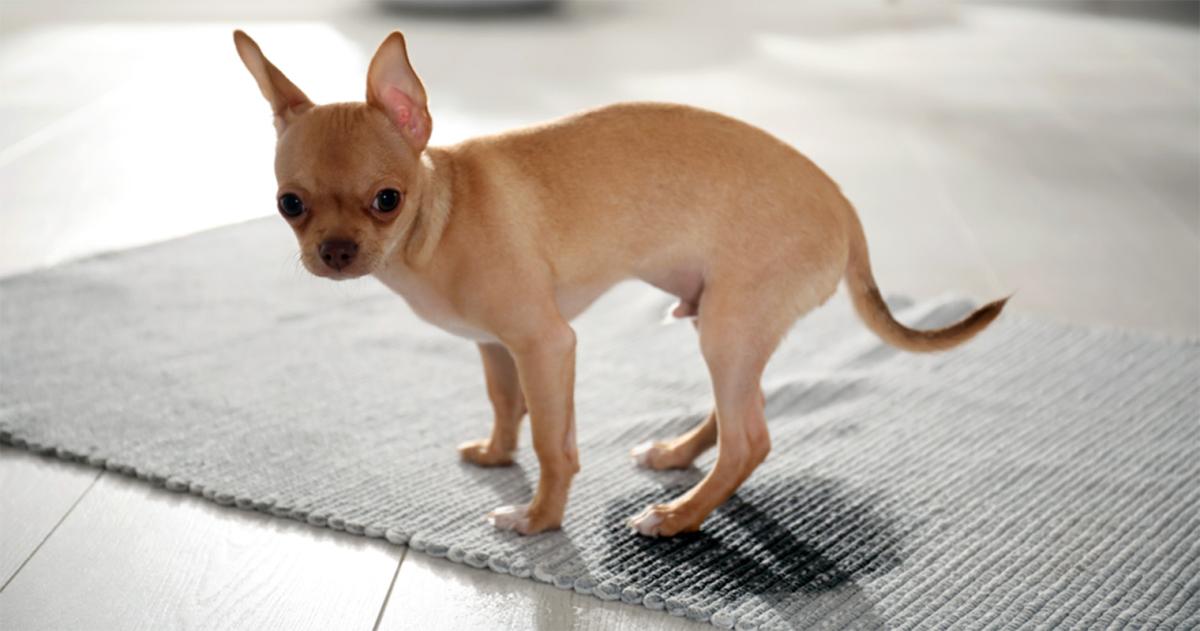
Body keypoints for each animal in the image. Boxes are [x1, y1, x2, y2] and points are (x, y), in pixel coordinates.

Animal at [231, 30, 1003, 539]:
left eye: (386, 200)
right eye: (289, 204)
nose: (335, 251)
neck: (440, 214)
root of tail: (843, 204)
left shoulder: (546, 344)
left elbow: (555, 443)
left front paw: (539, 519)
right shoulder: (496, 345)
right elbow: (506, 404)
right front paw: (497, 454)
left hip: (728, 328)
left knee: (750, 439)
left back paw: (677, 517)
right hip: (729, 327)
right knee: (736, 411)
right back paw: (675, 454)